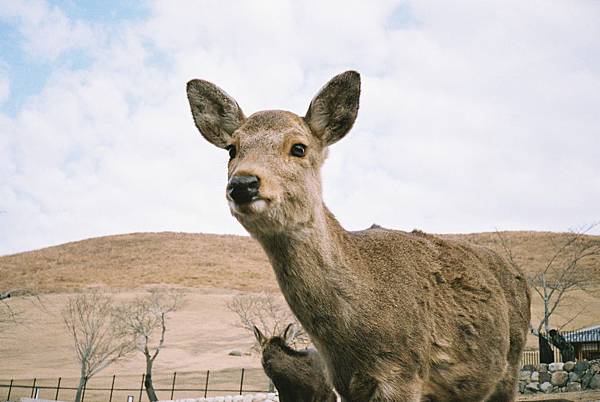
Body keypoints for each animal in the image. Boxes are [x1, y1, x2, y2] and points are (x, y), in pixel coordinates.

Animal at [186, 70, 528, 400]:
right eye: (232, 149)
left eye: (299, 148)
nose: (243, 184)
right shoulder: (345, 384)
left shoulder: (403, 371)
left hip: (511, 362)